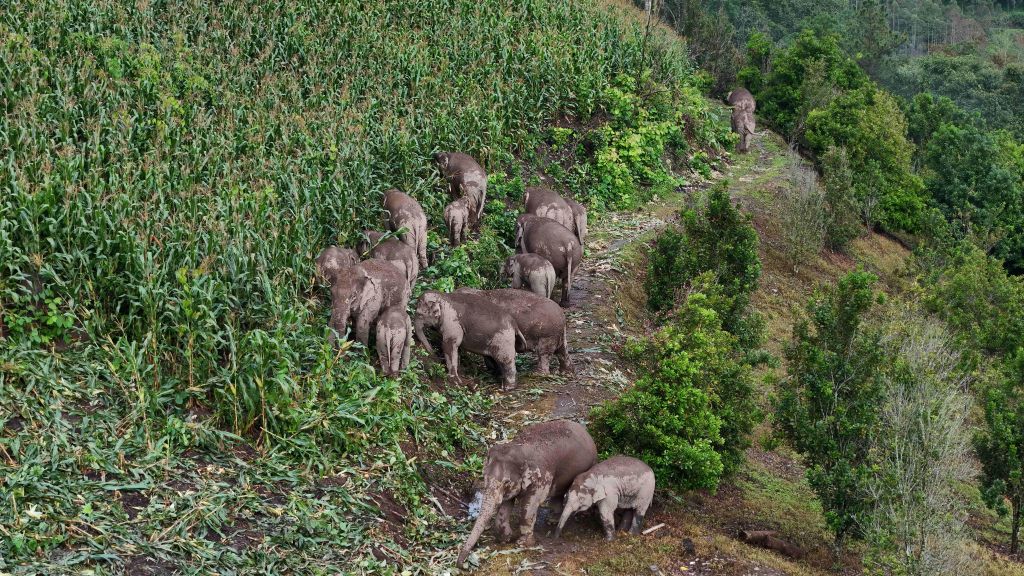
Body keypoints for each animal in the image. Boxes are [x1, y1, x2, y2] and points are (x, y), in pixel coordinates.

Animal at [457, 419, 597, 567]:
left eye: (506, 482)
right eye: (484, 477)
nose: (461, 564)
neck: (519, 448)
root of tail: (586, 433)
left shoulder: (541, 477)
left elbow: (529, 505)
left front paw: (522, 544)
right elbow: (506, 504)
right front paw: (506, 538)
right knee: (558, 492)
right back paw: (552, 520)